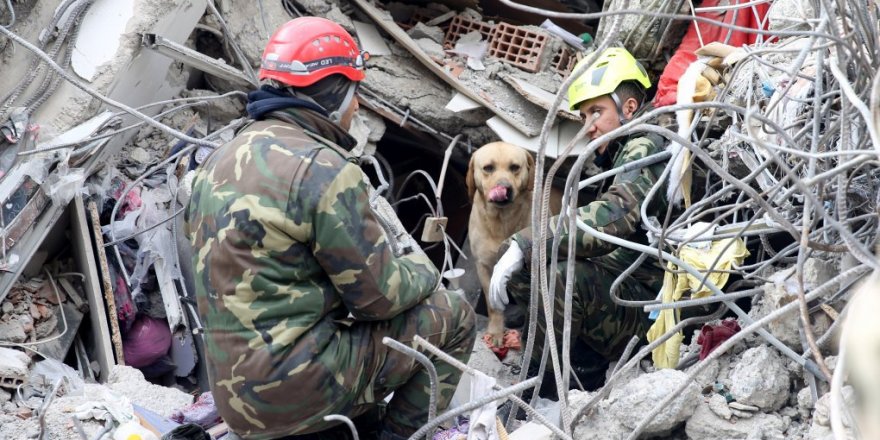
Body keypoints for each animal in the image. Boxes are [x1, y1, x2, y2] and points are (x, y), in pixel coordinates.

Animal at [464, 143, 560, 346]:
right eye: (488, 168)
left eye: (515, 167)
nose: (504, 189)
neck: (501, 222)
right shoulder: (483, 266)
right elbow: (493, 304)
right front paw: (496, 331)